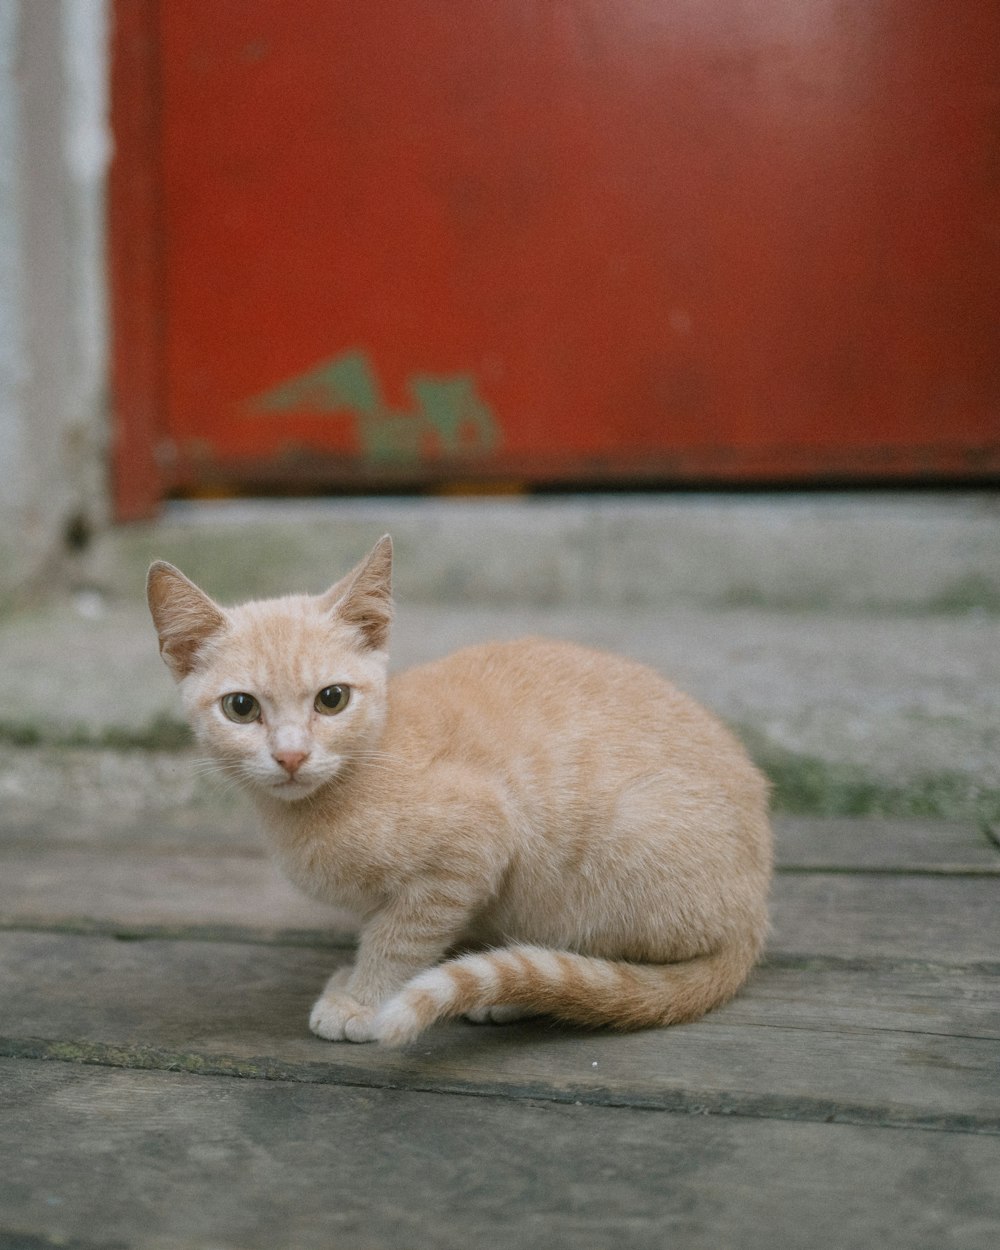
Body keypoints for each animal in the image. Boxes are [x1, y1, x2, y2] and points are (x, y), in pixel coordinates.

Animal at [146, 537, 775, 1045]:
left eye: (332, 699)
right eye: (241, 707)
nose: (292, 755)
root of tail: (753, 916)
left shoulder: (476, 840)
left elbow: (400, 936)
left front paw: (364, 998)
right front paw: (356, 978)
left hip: (609, 857)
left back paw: (517, 990)